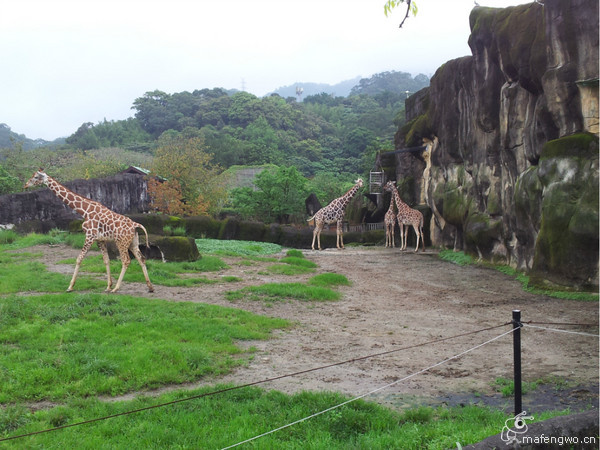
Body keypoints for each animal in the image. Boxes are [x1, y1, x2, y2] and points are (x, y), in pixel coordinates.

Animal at [23, 171, 155, 294]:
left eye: (36, 177)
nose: (25, 185)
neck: (85, 211)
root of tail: (135, 225)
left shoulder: (89, 236)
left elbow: (79, 259)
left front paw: (70, 287)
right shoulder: (100, 239)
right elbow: (106, 260)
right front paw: (108, 286)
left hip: (121, 242)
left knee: (126, 260)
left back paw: (116, 289)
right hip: (133, 243)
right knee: (141, 258)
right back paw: (150, 287)